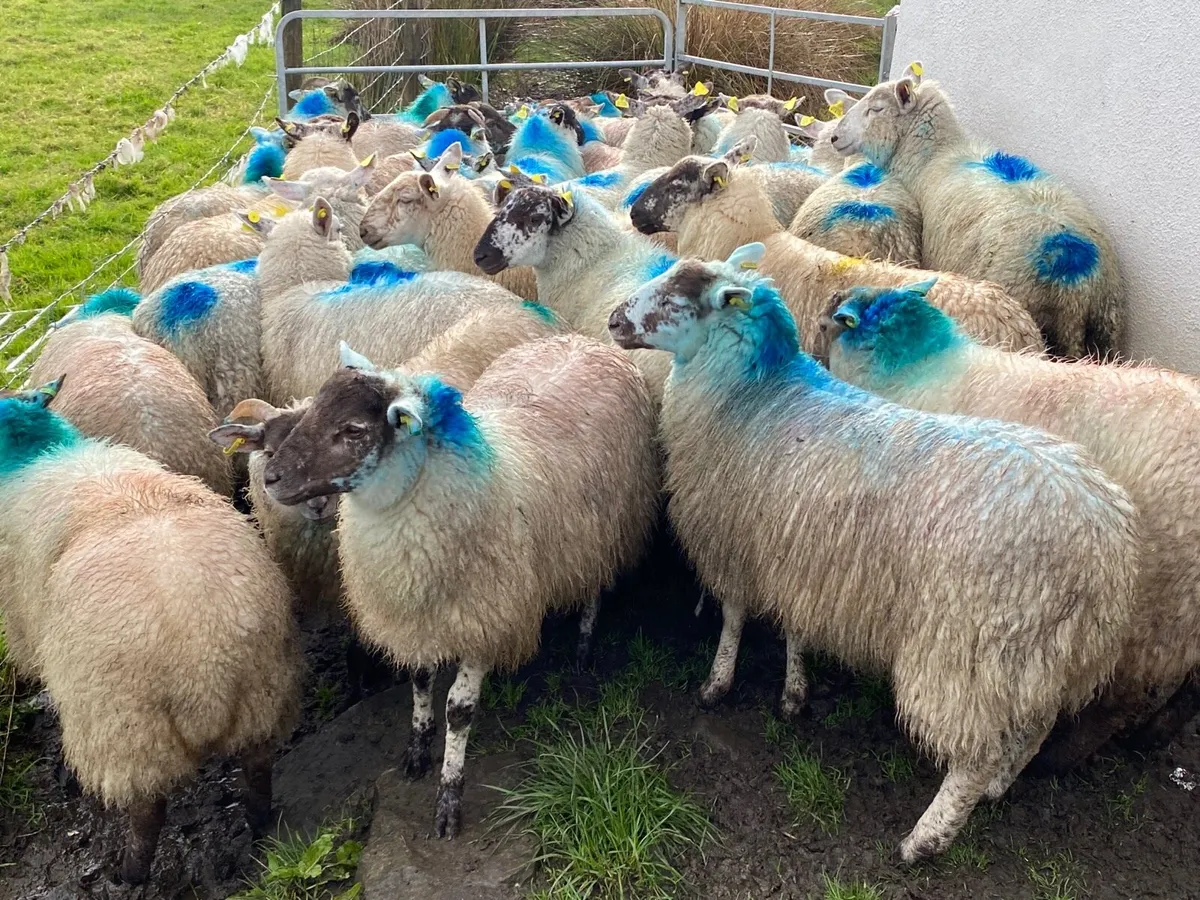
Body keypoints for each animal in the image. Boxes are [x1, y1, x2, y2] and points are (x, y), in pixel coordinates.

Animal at [0, 382, 300, 884]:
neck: (33, 453)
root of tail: (205, 668)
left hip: (128, 732)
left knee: (147, 811)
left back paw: (129, 871)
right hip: (263, 691)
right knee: (258, 768)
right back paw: (260, 828)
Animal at [260, 333, 658, 838]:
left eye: (352, 430)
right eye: (311, 410)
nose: (271, 478)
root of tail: (585, 340)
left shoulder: (485, 613)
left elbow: (460, 710)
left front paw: (449, 797)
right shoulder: (418, 615)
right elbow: (420, 679)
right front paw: (417, 749)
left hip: (608, 527)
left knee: (596, 584)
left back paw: (585, 645)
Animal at [606, 243, 1139, 862]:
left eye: (676, 299)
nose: (613, 322)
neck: (753, 397)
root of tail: (1101, 541)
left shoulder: (734, 541)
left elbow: (734, 616)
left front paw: (717, 683)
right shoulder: (802, 556)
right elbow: (795, 628)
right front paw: (794, 695)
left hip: (969, 649)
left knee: (973, 755)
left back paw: (927, 837)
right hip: (1040, 658)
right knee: (1033, 727)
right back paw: (1000, 787)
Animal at [824, 279, 1200, 766]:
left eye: (835, 323)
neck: (919, 368)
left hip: (1160, 607)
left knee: (1129, 696)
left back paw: (1065, 756)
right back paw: (1152, 737)